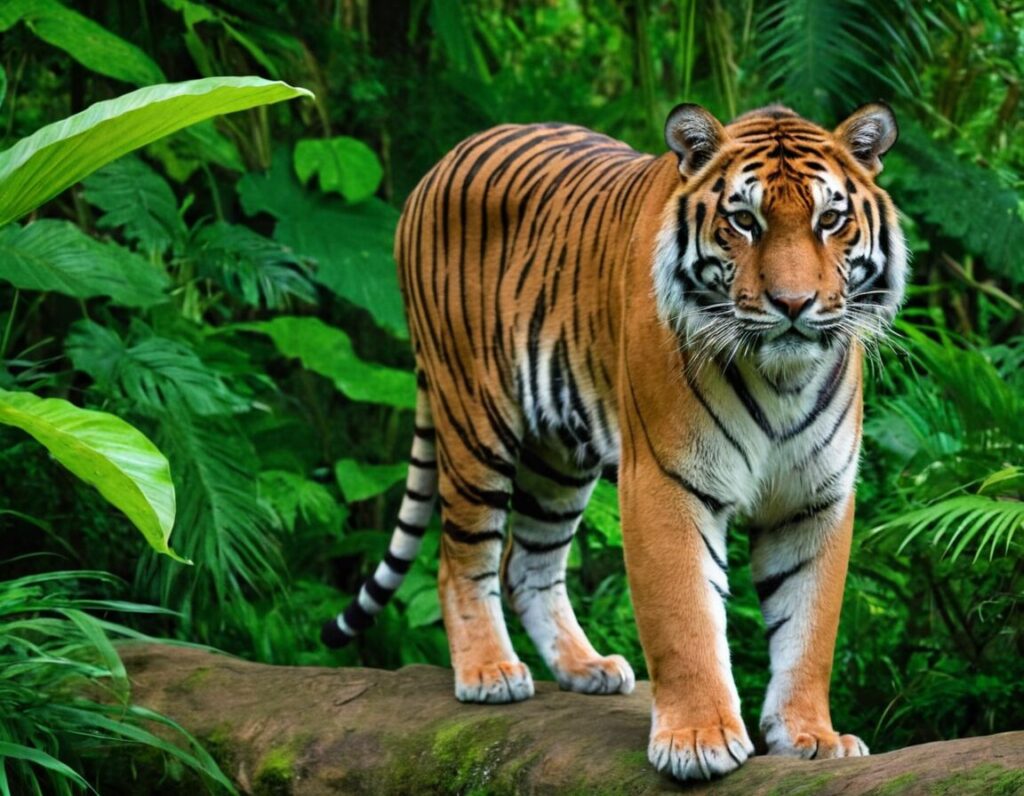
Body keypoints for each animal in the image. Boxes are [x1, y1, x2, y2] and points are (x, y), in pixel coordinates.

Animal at [321, 102, 906, 781]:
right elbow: (684, 616)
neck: (782, 374)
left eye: (829, 220)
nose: (793, 304)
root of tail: (442, 161)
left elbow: (809, 629)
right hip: (472, 418)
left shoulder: (813, 498)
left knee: (528, 562)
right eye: (744, 220)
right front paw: (698, 738)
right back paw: (489, 671)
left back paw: (586, 667)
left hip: (558, 455)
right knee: (461, 556)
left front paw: (812, 736)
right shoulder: (666, 479)